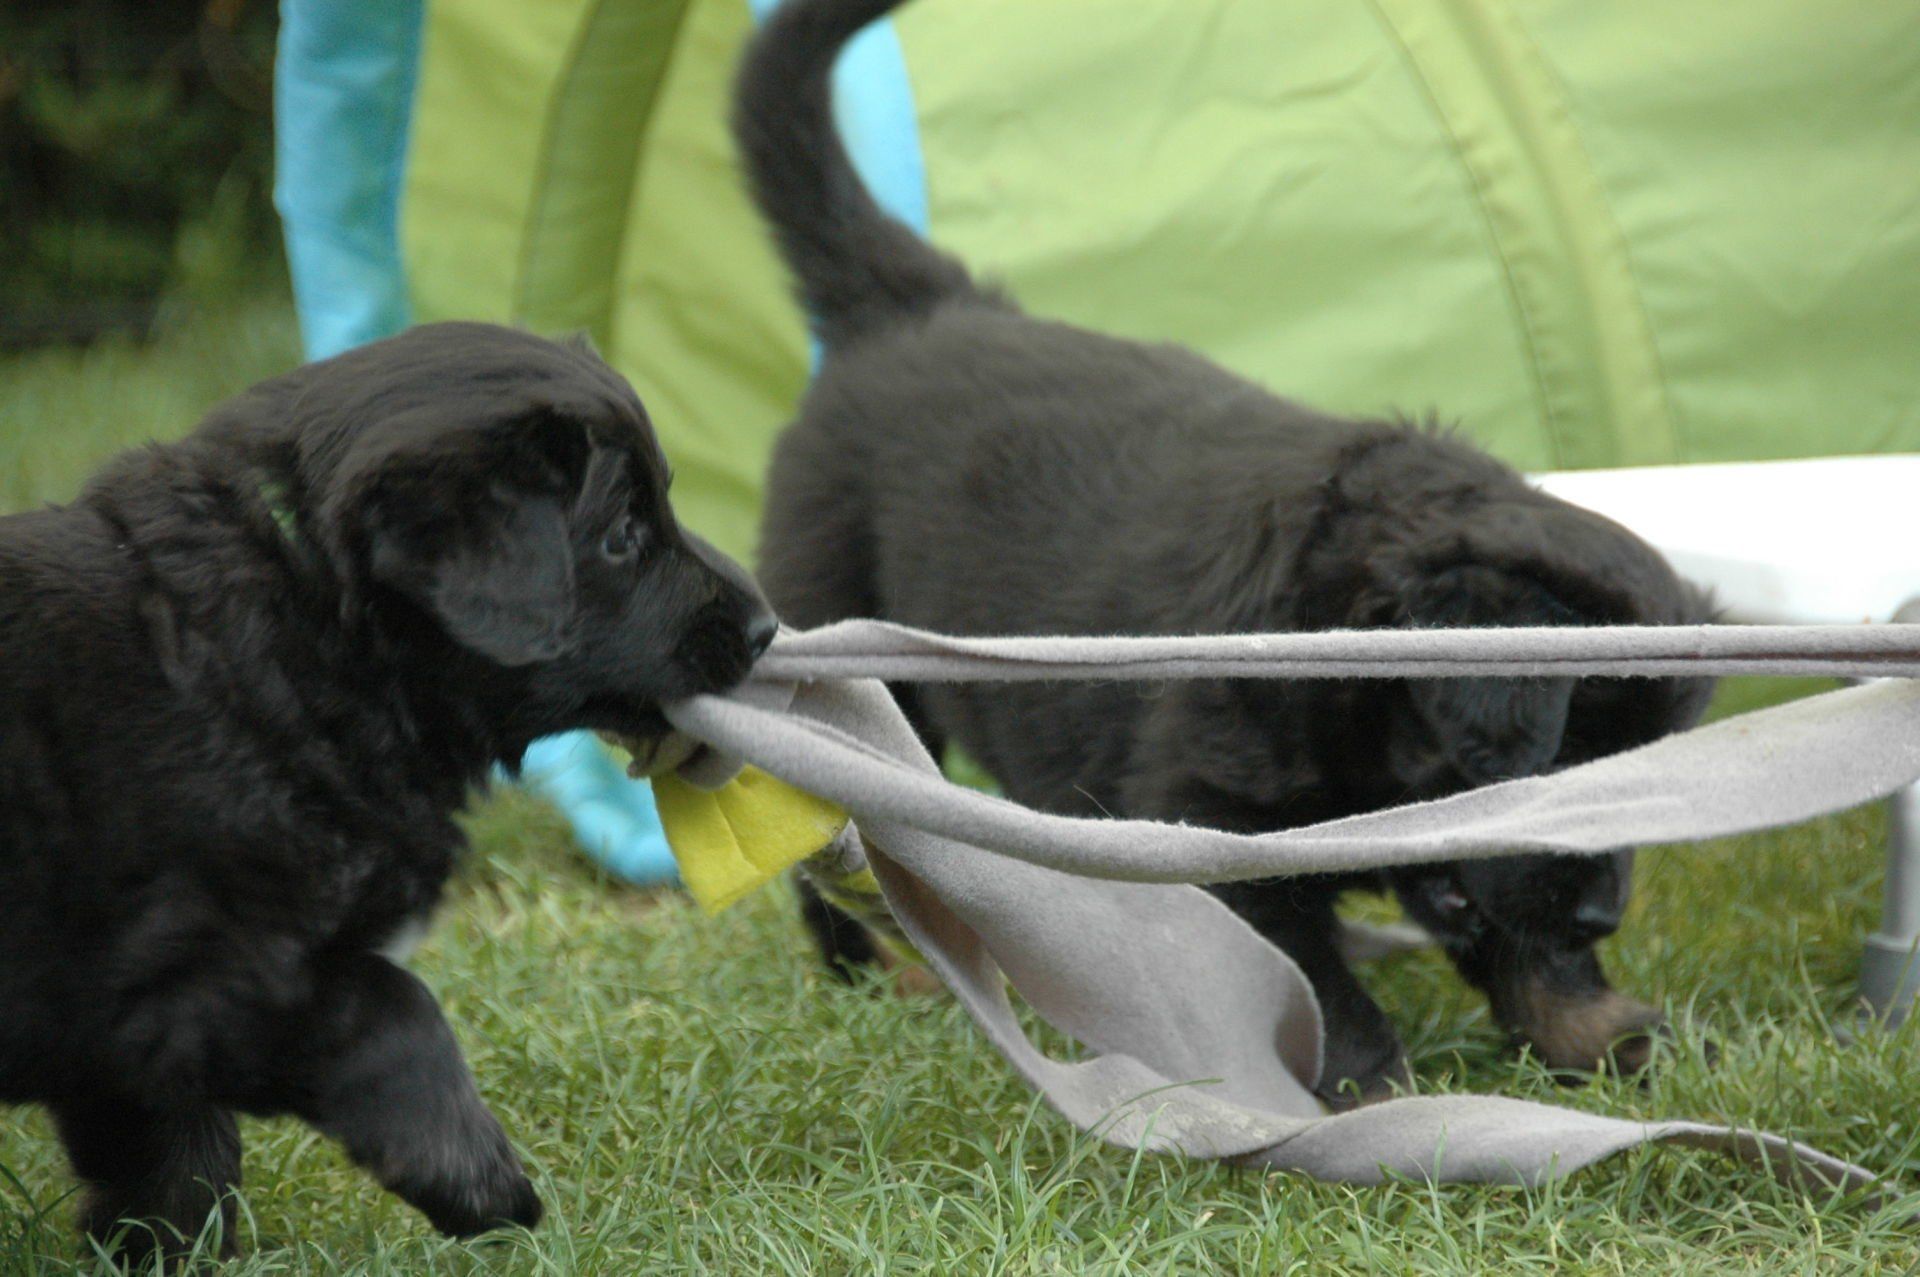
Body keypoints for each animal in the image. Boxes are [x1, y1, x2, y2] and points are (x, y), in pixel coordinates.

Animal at [0, 322, 776, 1260]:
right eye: (624, 534)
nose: (767, 627)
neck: (310, 623)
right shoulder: (205, 972)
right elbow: (398, 1013)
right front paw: (484, 1186)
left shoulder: (141, 1037)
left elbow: (176, 1153)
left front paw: (162, 1254)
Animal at [734, 0, 1715, 1105]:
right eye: (1565, 761)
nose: (1605, 916)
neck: (1340, 653)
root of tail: (916, 306)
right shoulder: (1215, 814)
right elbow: (1321, 988)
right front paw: (1380, 1099)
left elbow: (1515, 938)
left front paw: (1601, 1033)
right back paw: (882, 975)